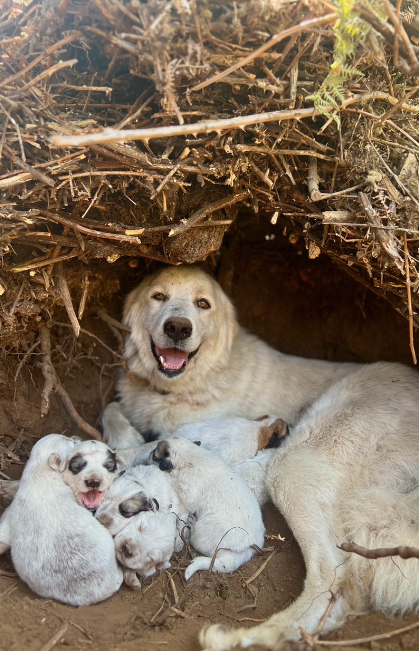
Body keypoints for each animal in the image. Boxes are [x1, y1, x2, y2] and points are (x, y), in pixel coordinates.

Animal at [149, 438, 264, 580]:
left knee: (193, 539)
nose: (149, 455)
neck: (187, 454)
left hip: (202, 530)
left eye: (155, 457)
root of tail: (244, 551)